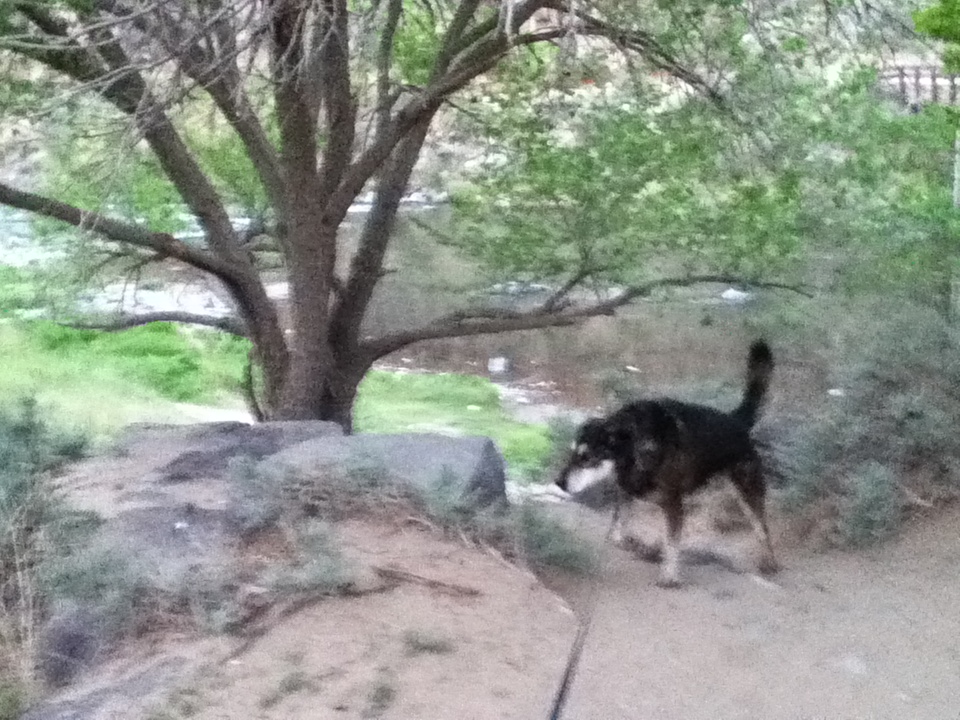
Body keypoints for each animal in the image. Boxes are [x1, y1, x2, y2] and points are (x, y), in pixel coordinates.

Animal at [555, 340, 778, 587]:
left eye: (586, 458)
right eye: (571, 454)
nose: (558, 483)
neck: (634, 444)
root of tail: (737, 420)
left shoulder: (673, 504)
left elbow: (672, 544)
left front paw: (669, 576)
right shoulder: (627, 491)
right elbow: (617, 529)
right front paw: (631, 543)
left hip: (746, 492)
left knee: (762, 528)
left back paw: (769, 562)